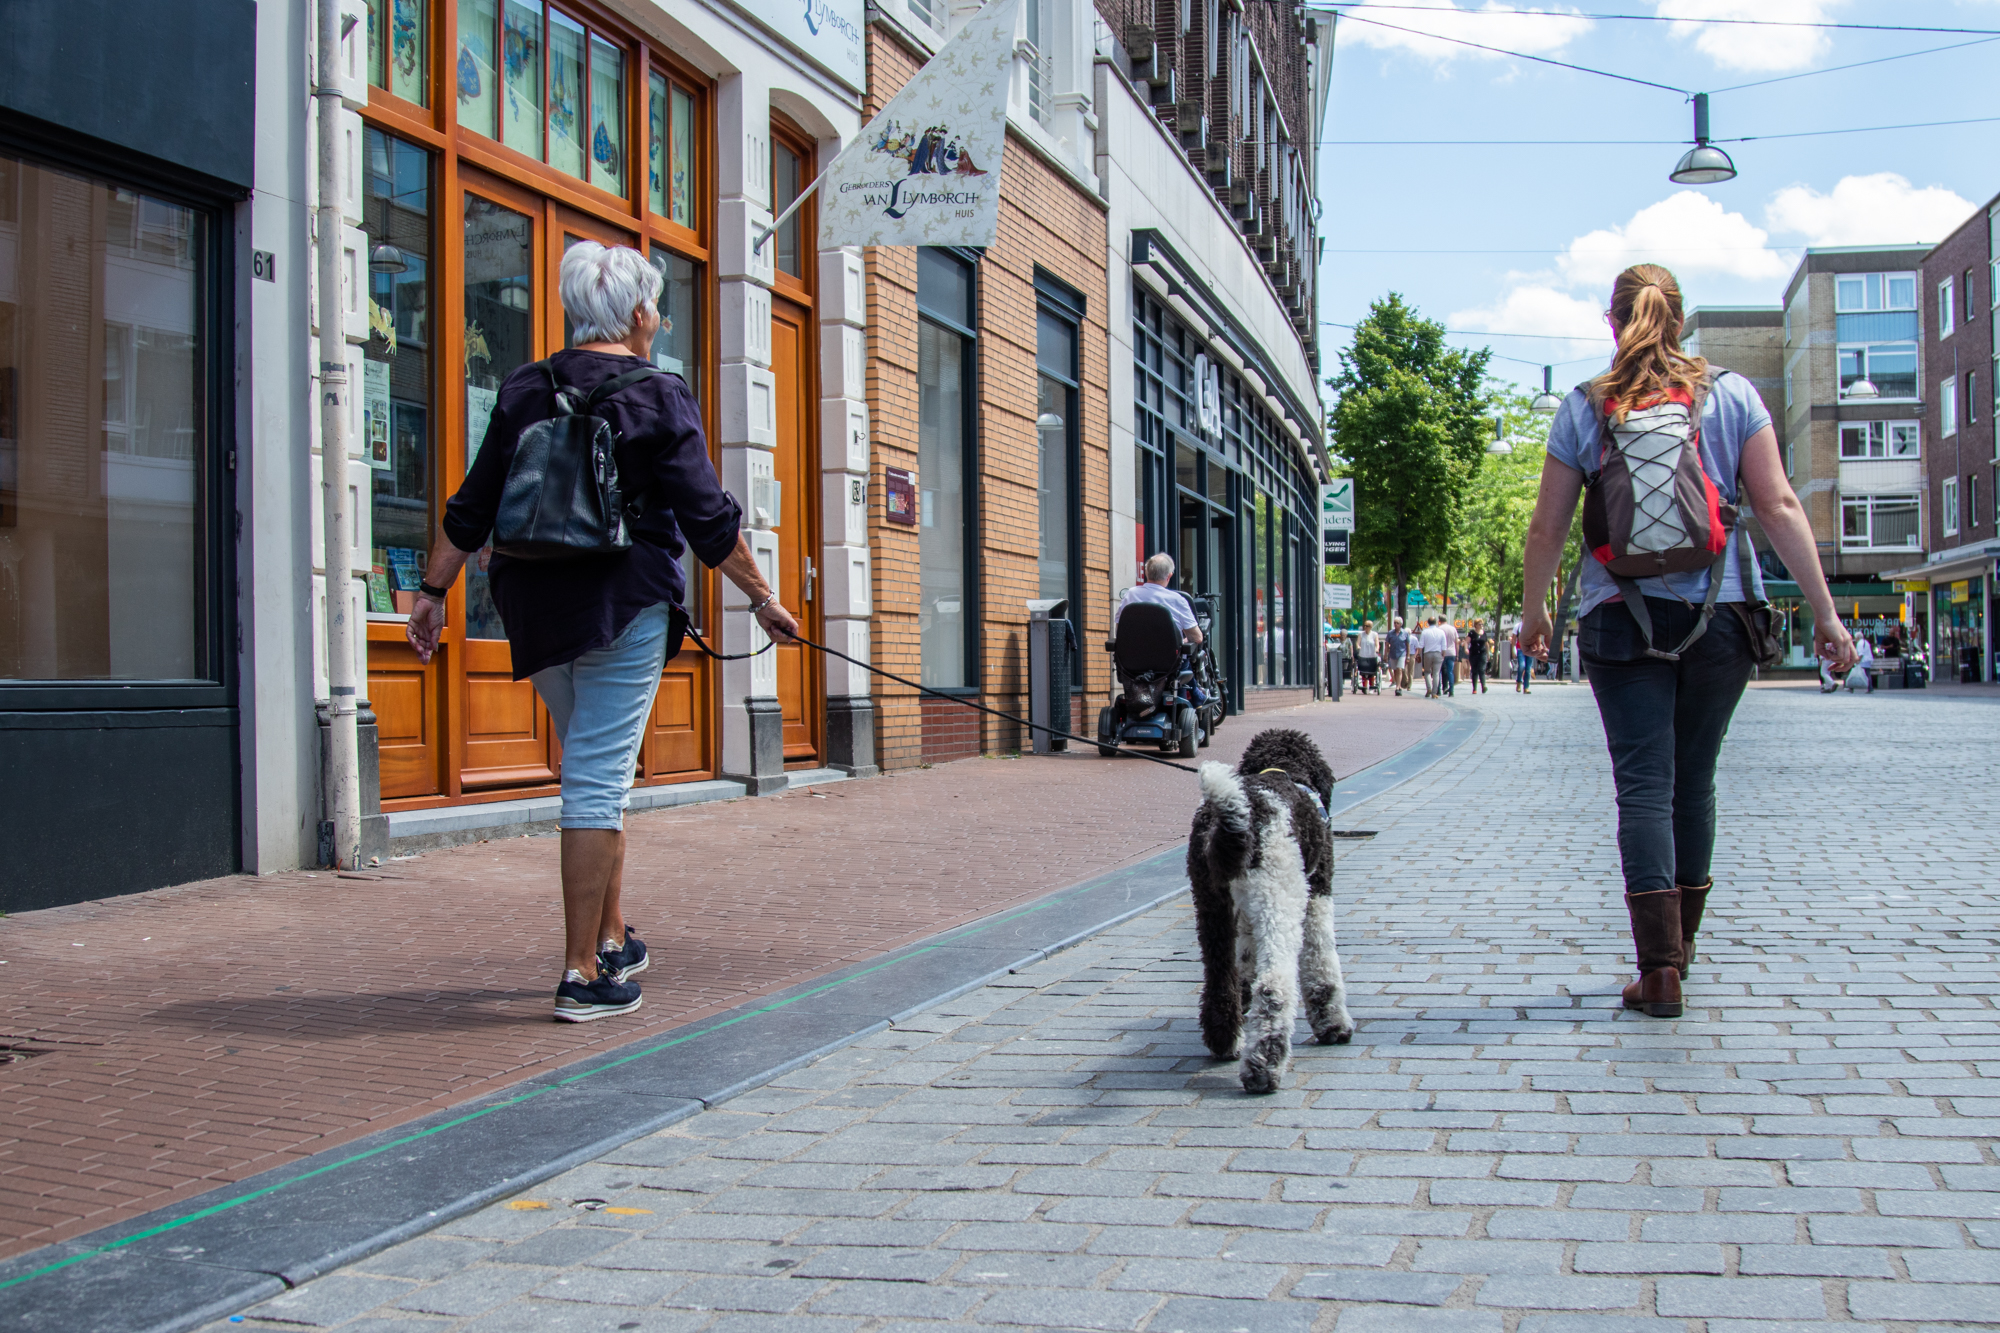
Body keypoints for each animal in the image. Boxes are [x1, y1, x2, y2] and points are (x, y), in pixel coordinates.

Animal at [1184, 728, 1360, 1088]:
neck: (1282, 771)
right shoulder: (1317, 896)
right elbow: (1322, 965)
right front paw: (1333, 1025)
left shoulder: (1246, 920)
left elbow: (1245, 970)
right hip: (1280, 902)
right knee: (1273, 985)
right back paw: (1263, 1067)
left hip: (1212, 907)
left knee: (1221, 981)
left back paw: (1226, 1041)